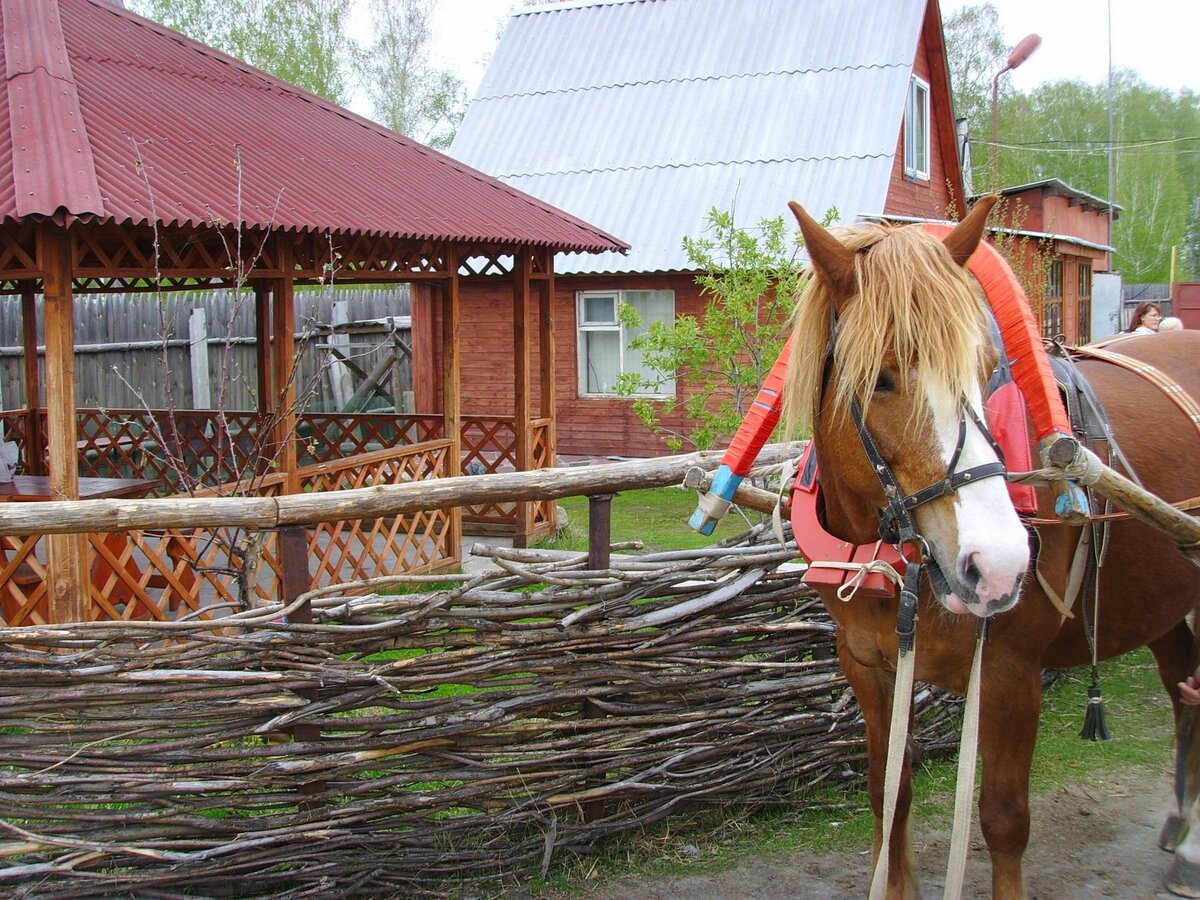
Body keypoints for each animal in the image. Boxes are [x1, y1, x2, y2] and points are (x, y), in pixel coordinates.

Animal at [777, 199, 1200, 900]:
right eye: (882, 378)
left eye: (986, 371)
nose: (998, 565)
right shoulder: (869, 669)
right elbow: (889, 798)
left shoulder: (1008, 672)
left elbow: (1003, 819)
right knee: (1182, 685)